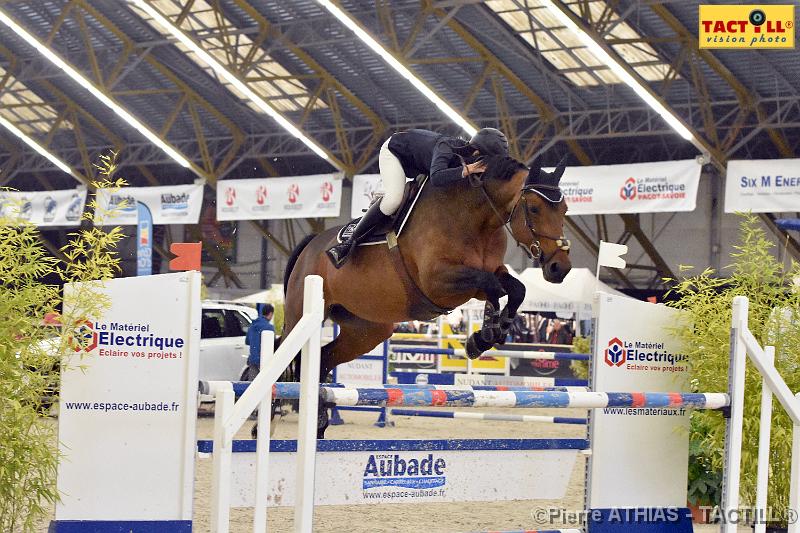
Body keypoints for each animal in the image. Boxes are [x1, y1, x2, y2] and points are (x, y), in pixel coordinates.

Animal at [278, 153, 572, 378]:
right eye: (534, 209)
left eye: (565, 210)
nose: (561, 268)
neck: (473, 218)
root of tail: (311, 244)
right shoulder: (438, 282)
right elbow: (493, 287)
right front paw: (486, 333)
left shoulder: (484, 274)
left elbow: (515, 288)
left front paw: (488, 335)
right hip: (299, 315)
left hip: (367, 328)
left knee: (324, 359)